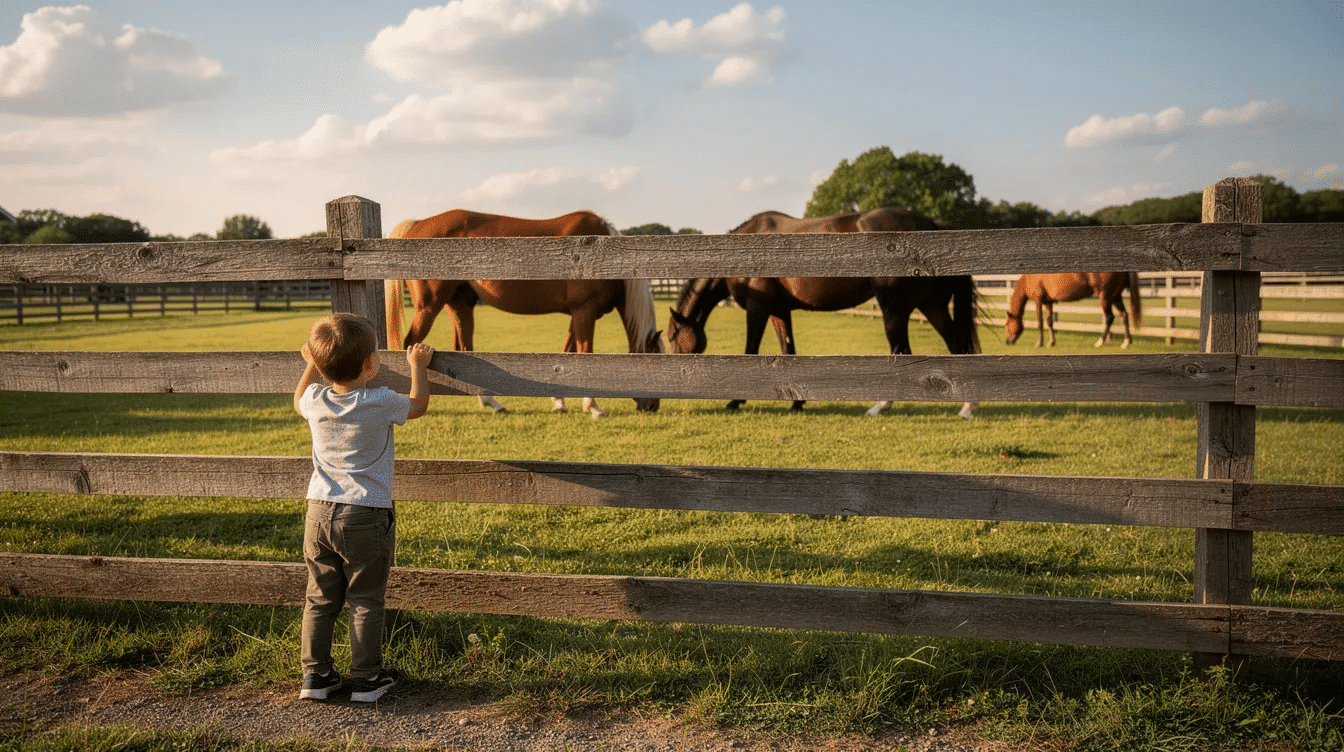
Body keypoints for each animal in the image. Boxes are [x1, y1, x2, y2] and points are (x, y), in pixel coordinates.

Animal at [383, 209, 663, 417]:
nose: (652, 407)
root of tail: (417, 224)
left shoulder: (579, 313)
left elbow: (569, 352)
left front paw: (560, 402)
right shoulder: (584, 310)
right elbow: (585, 353)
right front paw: (593, 406)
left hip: (459, 304)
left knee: (464, 349)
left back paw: (492, 403)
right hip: (429, 307)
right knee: (408, 344)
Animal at [666, 207, 980, 419]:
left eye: (671, 337)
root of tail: (930, 223)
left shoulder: (758, 309)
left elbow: (750, 351)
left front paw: (734, 400)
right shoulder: (779, 311)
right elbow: (788, 351)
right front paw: (796, 403)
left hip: (895, 310)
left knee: (902, 351)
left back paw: (881, 406)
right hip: (932, 306)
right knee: (956, 346)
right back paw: (967, 407)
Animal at [1004, 272, 1142, 348]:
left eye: (1007, 325)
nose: (1007, 342)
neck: (1029, 279)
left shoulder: (1038, 301)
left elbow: (1040, 323)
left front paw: (1039, 343)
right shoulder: (1048, 302)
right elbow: (1049, 322)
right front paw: (1051, 342)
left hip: (1105, 297)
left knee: (1109, 317)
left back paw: (1100, 342)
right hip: (1115, 296)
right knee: (1124, 315)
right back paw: (1126, 342)